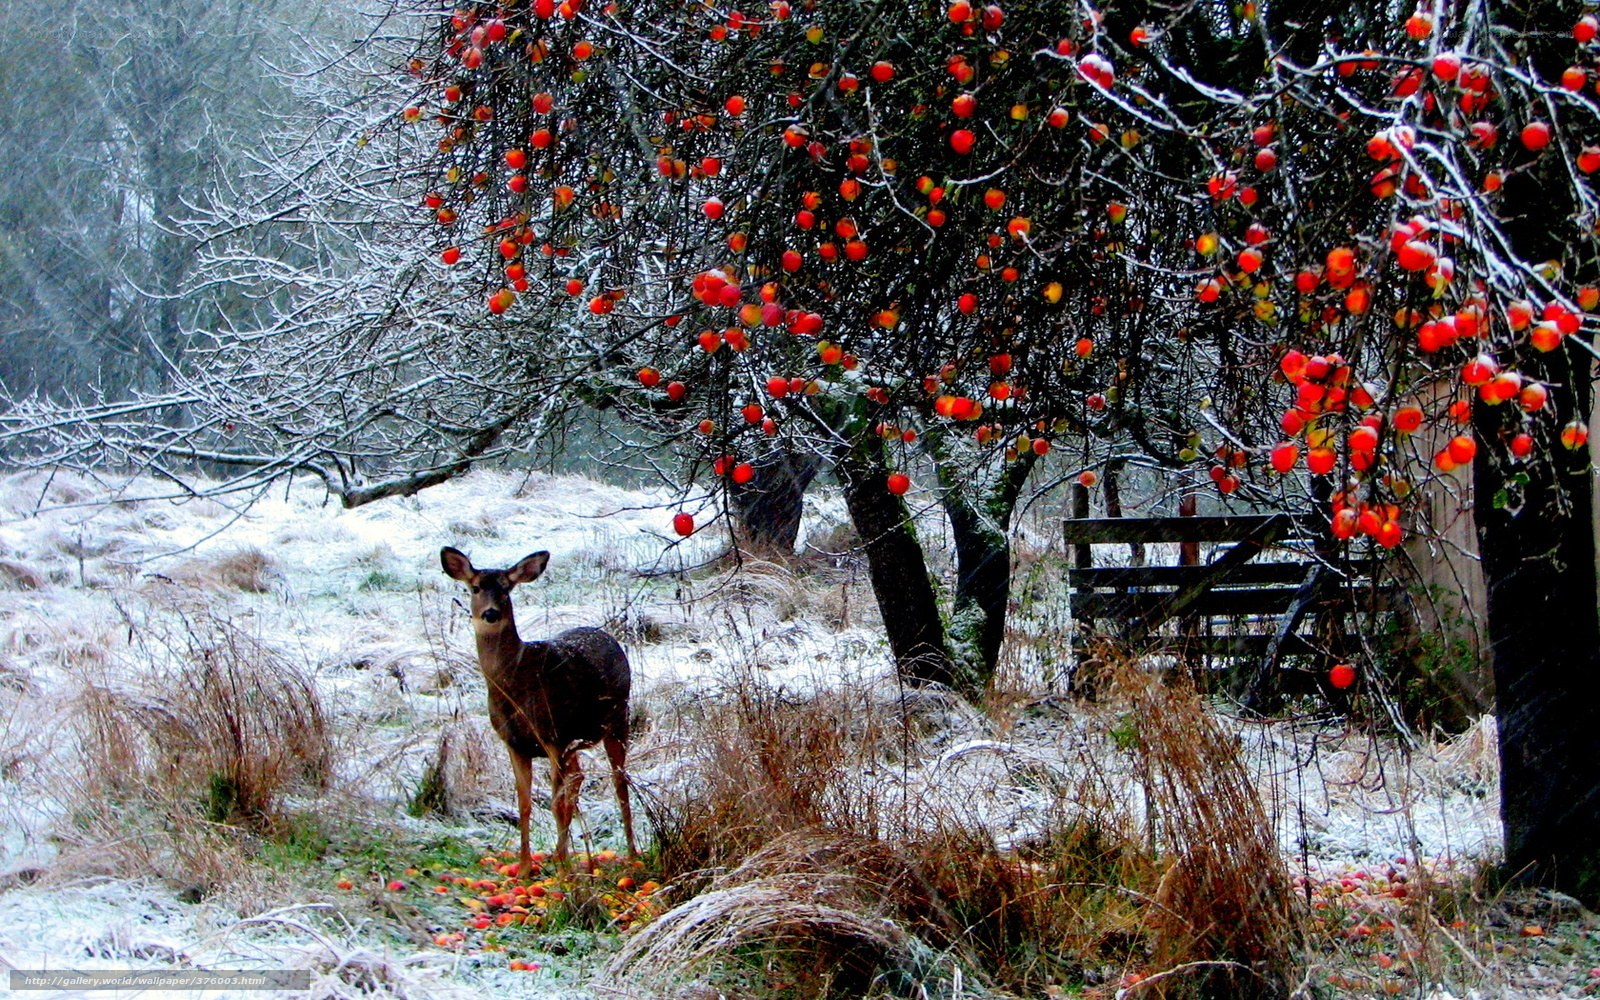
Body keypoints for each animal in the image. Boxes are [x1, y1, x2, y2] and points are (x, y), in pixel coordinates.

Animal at [440, 546, 637, 877]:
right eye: (475, 588)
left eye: (506, 588)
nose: (490, 613)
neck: (515, 683)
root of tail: (608, 637)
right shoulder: (515, 743)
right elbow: (525, 804)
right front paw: (524, 868)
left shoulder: (551, 734)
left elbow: (556, 804)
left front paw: (564, 873)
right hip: (575, 740)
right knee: (578, 777)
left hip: (617, 718)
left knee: (619, 783)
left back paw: (632, 854)